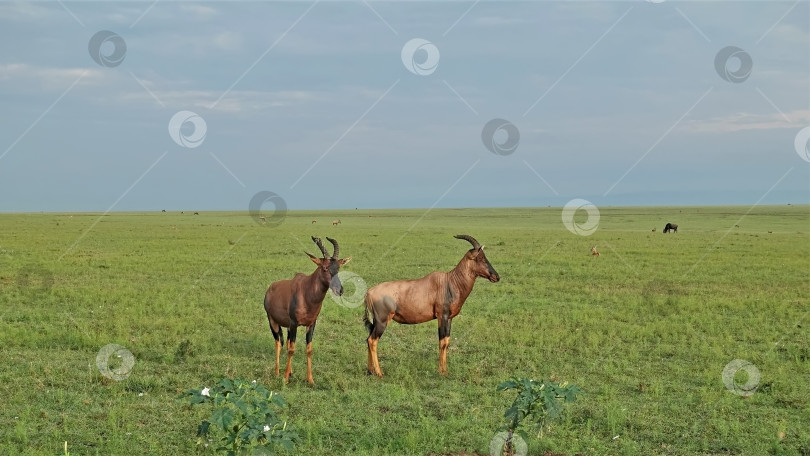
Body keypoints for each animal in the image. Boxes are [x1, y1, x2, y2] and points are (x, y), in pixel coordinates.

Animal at [262, 237, 350, 382]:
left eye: (338, 267)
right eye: (325, 268)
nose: (340, 290)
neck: (306, 292)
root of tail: (270, 288)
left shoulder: (311, 324)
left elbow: (308, 350)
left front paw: (310, 380)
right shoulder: (294, 323)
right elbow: (292, 349)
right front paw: (285, 379)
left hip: (287, 326)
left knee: (286, 342)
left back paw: (290, 371)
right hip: (272, 321)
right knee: (278, 343)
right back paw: (277, 372)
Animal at [362, 235, 498, 378]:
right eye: (480, 258)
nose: (496, 276)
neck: (449, 282)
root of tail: (369, 292)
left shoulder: (449, 318)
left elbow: (447, 341)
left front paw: (445, 371)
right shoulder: (442, 316)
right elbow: (442, 342)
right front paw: (441, 372)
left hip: (375, 322)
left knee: (368, 339)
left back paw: (370, 371)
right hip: (382, 321)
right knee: (373, 340)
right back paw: (379, 373)